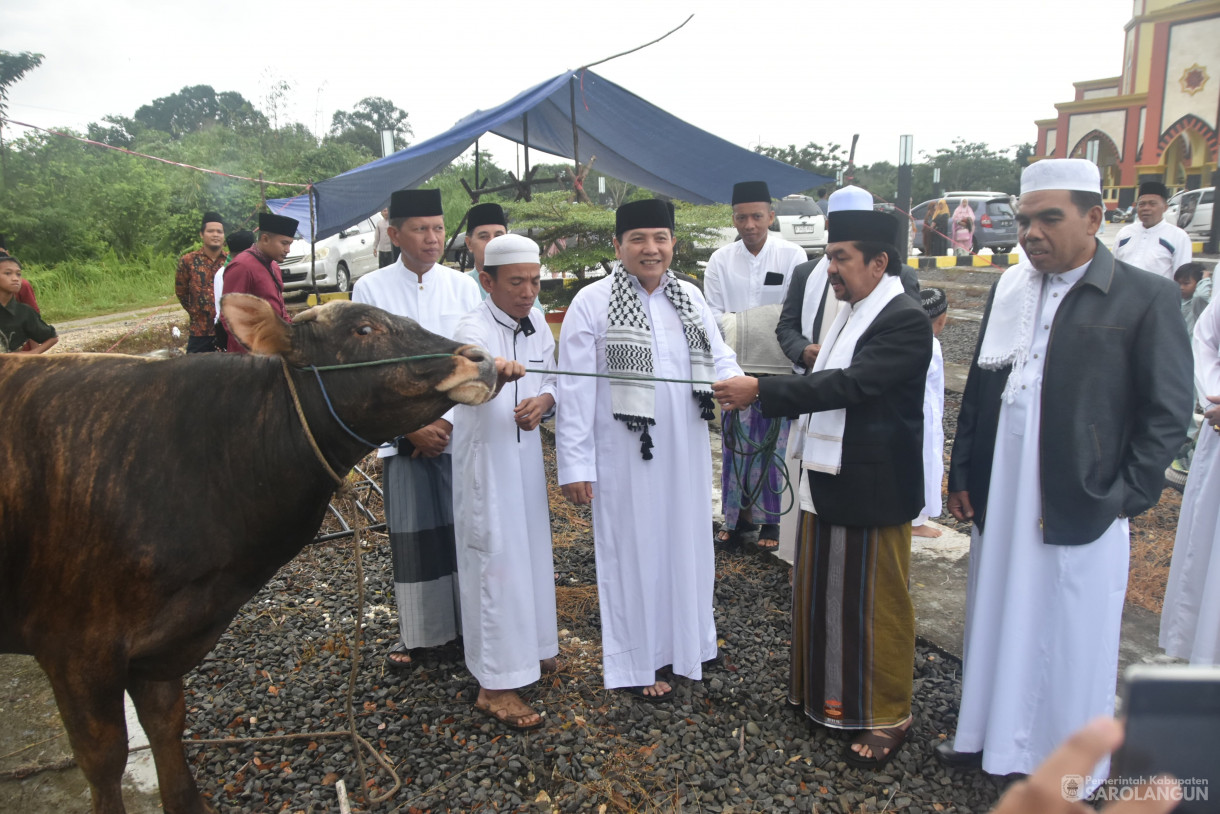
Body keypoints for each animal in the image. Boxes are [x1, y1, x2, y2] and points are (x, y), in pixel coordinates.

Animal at [0, 297, 509, 814]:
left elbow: (166, 722)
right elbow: (104, 759)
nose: (481, 360)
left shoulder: (162, 642)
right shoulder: (76, 648)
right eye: (364, 329)